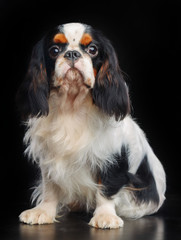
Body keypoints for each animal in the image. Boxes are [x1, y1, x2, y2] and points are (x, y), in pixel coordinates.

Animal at [17, 22, 165, 229]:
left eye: (92, 49)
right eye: (54, 50)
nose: (72, 54)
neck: (72, 106)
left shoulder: (111, 157)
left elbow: (106, 188)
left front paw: (105, 216)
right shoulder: (50, 156)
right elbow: (51, 186)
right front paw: (43, 211)